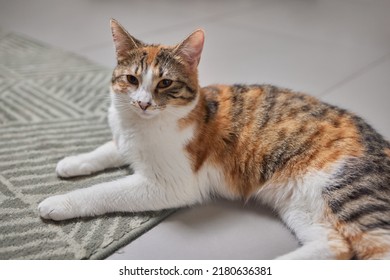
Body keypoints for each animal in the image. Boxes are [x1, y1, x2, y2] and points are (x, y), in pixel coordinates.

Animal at [37, 18, 390, 260]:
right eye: (132, 79)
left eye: (165, 83)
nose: (143, 103)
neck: (138, 126)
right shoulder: (124, 139)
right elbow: (108, 149)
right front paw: (72, 162)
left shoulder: (172, 185)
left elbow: (104, 191)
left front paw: (60, 202)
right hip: (301, 203)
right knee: (334, 246)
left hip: (347, 191)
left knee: (375, 250)